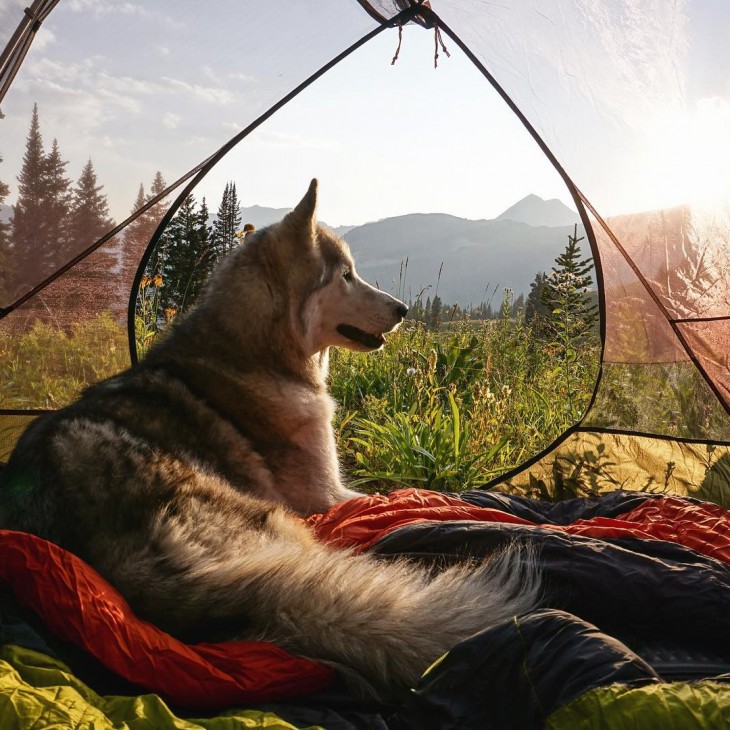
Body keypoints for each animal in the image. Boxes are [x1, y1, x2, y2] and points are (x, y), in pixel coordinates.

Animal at [0, 179, 536, 696]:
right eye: (346, 275)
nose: (403, 309)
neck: (258, 353)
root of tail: (109, 559)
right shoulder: (327, 495)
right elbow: (410, 494)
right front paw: (473, 511)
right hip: (286, 525)